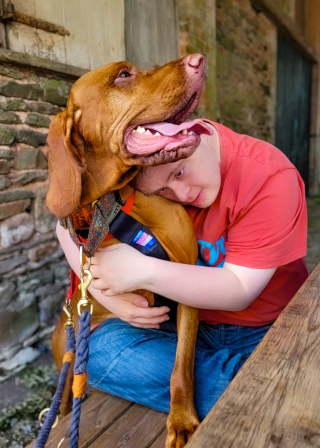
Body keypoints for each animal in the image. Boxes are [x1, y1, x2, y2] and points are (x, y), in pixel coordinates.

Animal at [47, 53, 209, 448]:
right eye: (123, 75)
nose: (198, 59)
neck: (115, 202)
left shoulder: (188, 282)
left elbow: (181, 368)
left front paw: (181, 421)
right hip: (66, 357)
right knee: (63, 403)